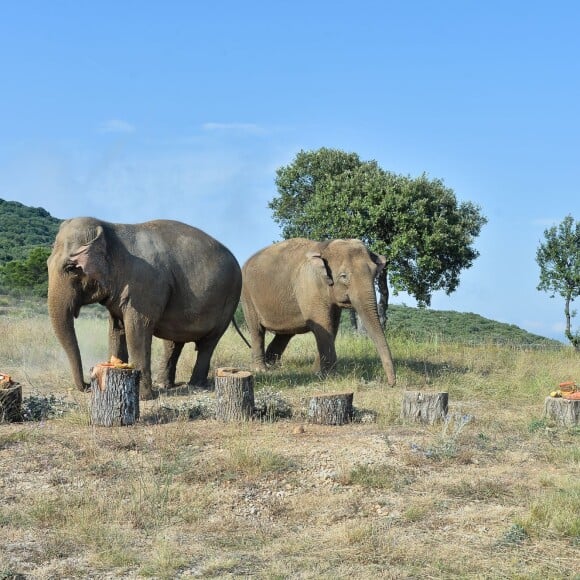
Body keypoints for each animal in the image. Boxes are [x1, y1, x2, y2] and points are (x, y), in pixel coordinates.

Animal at [46, 218, 242, 398]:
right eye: (47, 263)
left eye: (71, 268)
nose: (87, 385)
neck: (110, 227)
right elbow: (116, 330)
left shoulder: (145, 285)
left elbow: (137, 329)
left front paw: (143, 396)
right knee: (173, 343)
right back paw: (165, 385)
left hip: (230, 300)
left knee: (208, 343)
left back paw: (195, 385)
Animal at [239, 236, 394, 386]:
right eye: (343, 276)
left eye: (375, 273)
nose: (391, 383)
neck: (324, 247)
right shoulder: (310, 285)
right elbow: (324, 326)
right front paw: (330, 377)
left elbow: (332, 326)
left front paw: (317, 372)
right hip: (247, 295)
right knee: (257, 330)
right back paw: (261, 369)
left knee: (285, 334)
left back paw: (273, 365)